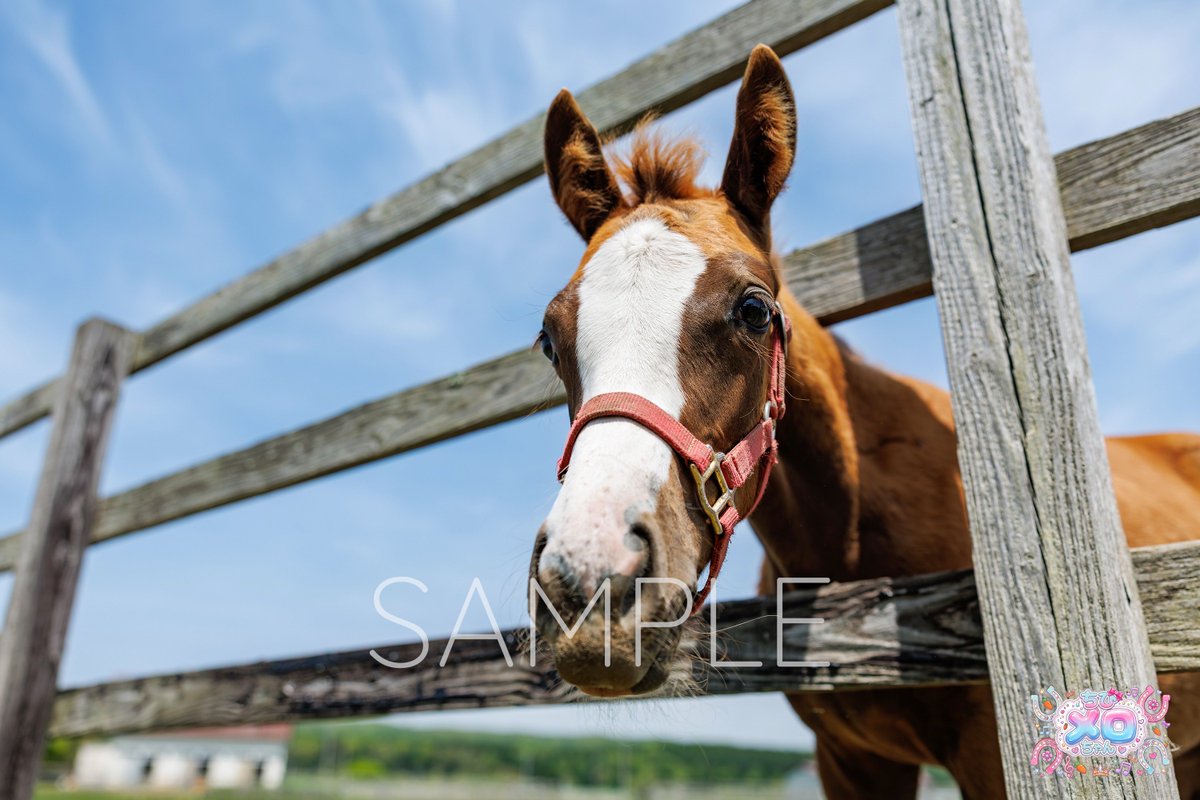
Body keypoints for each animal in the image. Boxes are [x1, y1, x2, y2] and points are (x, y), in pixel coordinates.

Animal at [527, 44, 1200, 798]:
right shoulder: (849, 759)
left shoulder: (993, 754)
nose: (589, 586)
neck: (852, 541)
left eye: (753, 310)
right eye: (550, 339)